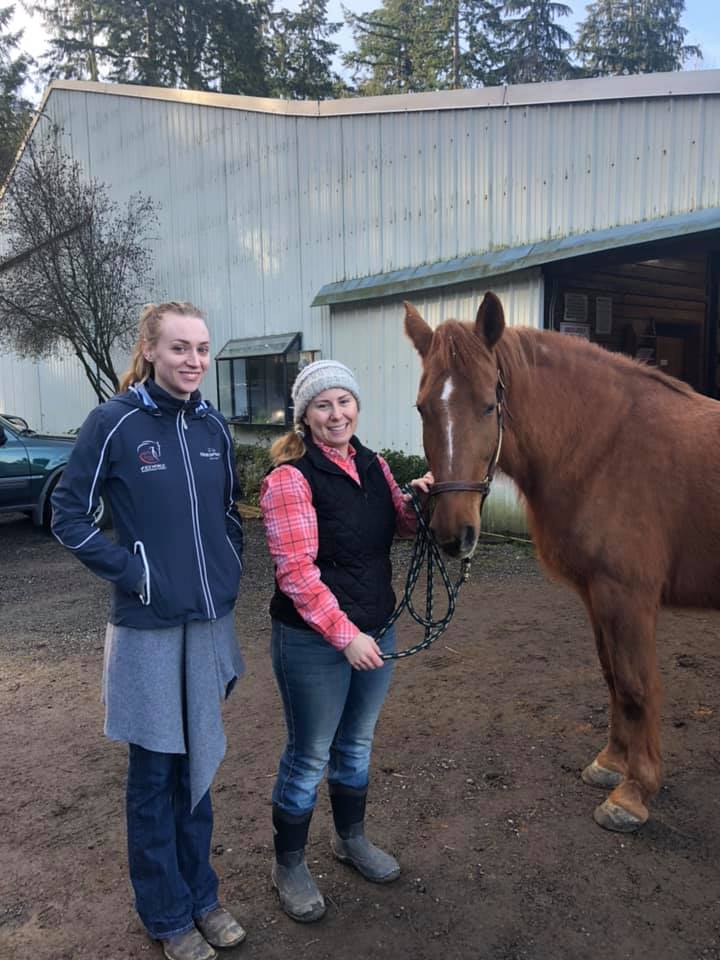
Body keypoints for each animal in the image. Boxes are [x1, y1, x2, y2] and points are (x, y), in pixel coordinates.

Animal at [404, 292, 720, 832]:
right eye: (423, 407)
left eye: (489, 405)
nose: (453, 535)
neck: (604, 447)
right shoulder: (597, 595)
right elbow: (612, 676)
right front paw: (611, 764)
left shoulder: (628, 598)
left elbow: (637, 685)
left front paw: (633, 793)